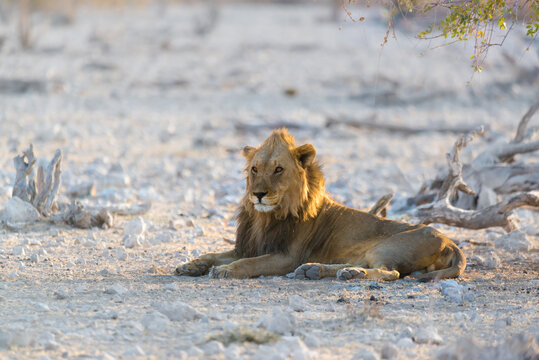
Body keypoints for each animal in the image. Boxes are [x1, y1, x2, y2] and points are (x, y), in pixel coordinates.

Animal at [175, 127, 466, 282]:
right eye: (255, 169)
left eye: (278, 169)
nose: (257, 194)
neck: (264, 218)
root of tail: (449, 241)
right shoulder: (247, 246)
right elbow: (213, 254)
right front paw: (191, 265)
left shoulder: (287, 257)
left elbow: (249, 264)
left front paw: (224, 270)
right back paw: (315, 270)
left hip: (387, 247)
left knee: (390, 272)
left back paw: (350, 274)